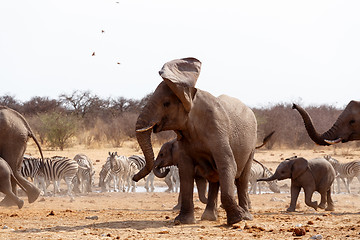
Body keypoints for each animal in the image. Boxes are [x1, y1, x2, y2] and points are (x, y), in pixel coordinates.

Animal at [134, 57, 258, 224]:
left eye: (166, 103)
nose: (134, 178)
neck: (191, 95)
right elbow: (185, 172)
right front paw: (182, 221)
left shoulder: (218, 129)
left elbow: (227, 164)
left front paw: (236, 220)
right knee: (215, 179)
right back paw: (209, 217)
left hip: (251, 145)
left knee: (241, 179)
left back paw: (245, 216)